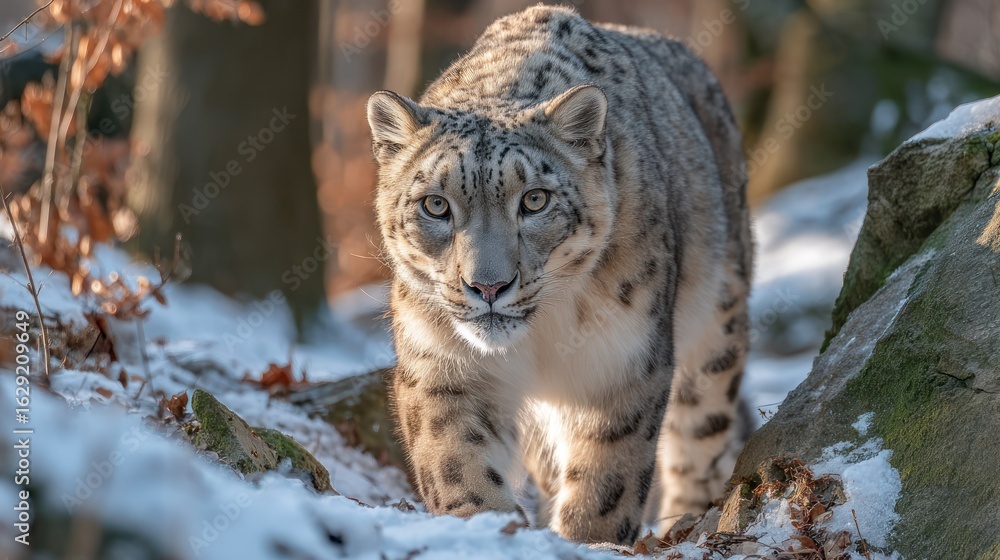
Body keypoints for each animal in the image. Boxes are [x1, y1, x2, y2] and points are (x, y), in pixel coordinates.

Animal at [366, 4, 753, 545]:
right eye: (435, 205)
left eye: (534, 200)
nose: (488, 286)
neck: (541, 337)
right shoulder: (441, 362)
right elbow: (455, 460)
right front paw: (485, 524)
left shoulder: (622, 361)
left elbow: (607, 478)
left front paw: (588, 540)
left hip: (718, 324)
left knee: (701, 434)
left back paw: (686, 522)